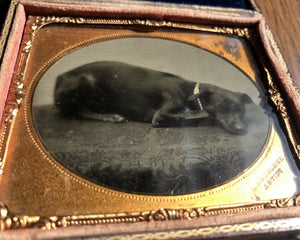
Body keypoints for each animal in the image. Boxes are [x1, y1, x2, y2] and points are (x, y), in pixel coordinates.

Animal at [54, 61, 253, 134]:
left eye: (243, 111)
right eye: (222, 106)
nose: (242, 129)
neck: (189, 90)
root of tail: (59, 77)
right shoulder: (162, 114)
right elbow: (198, 115)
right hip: (85, 80)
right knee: (78, 111)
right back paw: (110, 116)